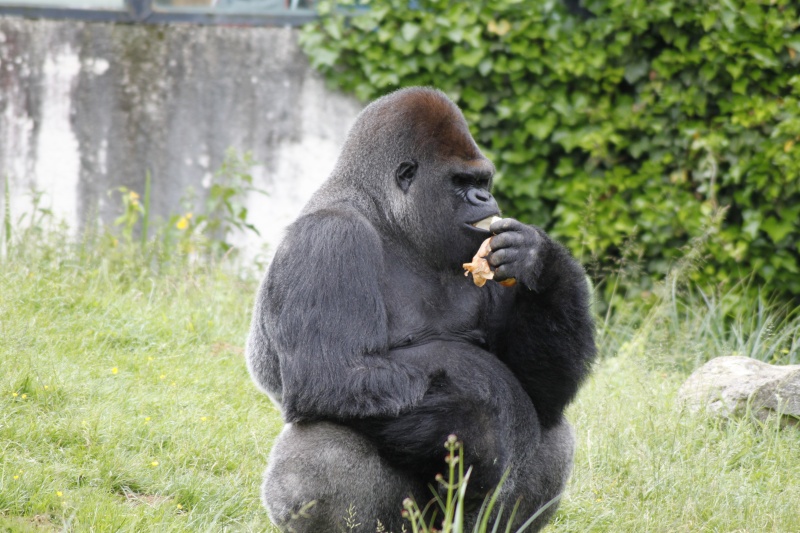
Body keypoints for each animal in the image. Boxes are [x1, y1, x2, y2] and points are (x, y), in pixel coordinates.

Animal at [247, 86, 596, 528]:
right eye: (462, 182)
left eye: (482, 181)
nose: (486, 197)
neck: (387, 216)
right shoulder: (328, 238)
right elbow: (334, 375)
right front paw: (478, 433)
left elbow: (541, 386)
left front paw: (539, 260)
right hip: (406, 519)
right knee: (323, 445)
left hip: (456, 520)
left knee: (553, 427)